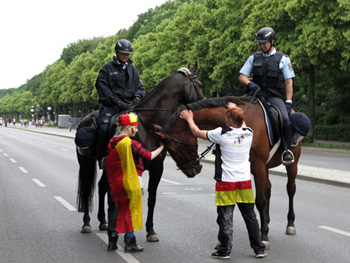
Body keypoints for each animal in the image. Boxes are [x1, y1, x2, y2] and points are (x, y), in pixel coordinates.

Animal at [75, 63, 204, 241]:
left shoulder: (157, 168)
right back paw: (86, 223)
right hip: (86, 163)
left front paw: (150, 231)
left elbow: (152, 199)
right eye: (199, 85)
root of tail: (84, 120)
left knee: (101, 187)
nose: (205, 103)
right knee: (88, 188)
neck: (147, 124)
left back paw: (103, 221)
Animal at [156, 97, 300, 250]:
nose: (192, 171)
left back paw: (290, 224)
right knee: (268, 189)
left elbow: (260, 201)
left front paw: (264, 238)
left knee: (290, 189)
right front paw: (223, 238)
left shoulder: (258, 166)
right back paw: (264, 224)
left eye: (173, 148)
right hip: (266, 167)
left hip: (292, 164)